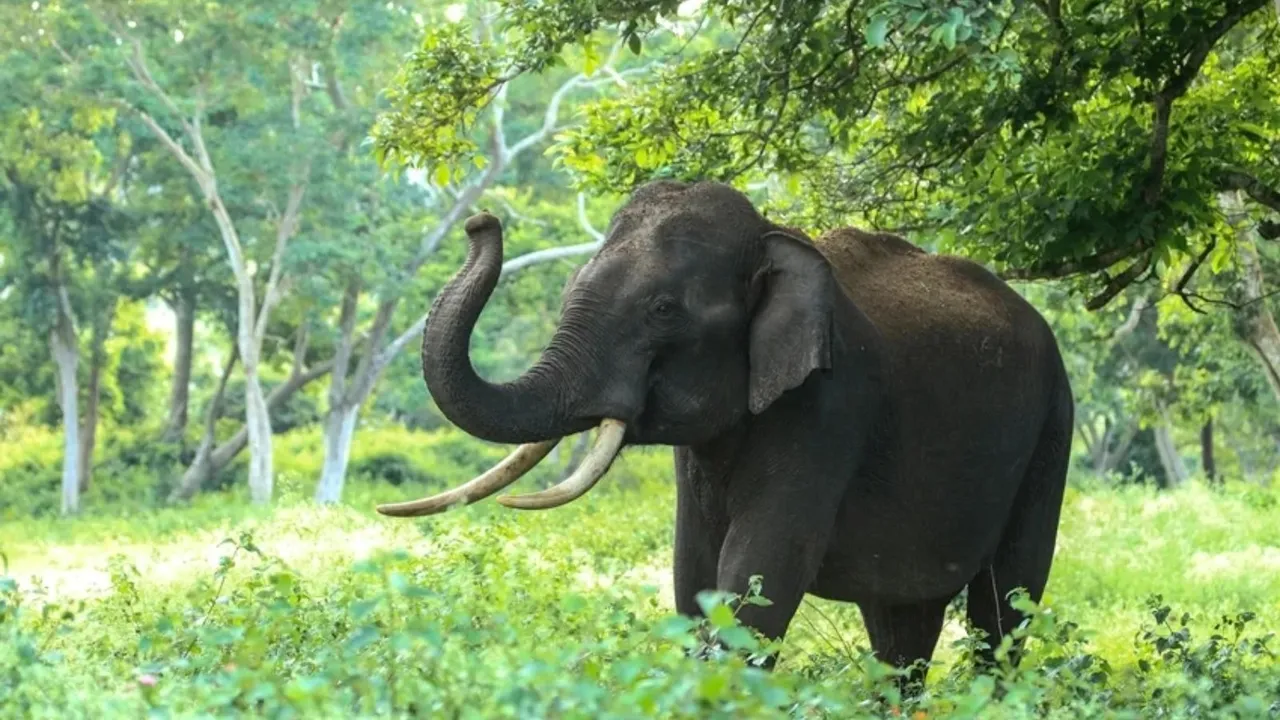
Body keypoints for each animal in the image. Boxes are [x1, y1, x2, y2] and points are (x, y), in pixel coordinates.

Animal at [377, 180, 1074, 689]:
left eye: (662, 310)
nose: (480, 221)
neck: (773, 237)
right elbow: (695, 574)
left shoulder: (829, 407)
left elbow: (759, 574)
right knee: (901, 625)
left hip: (1052, 428)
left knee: (1005, 605)